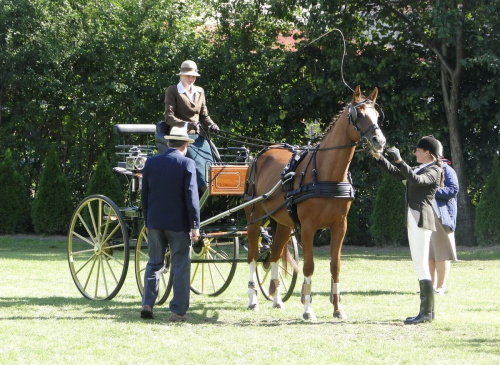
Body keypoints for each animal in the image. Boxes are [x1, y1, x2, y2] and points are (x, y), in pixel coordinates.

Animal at [244, 85, 384, 318]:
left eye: (377, 115)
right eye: (359, 115)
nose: (379, 141)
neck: (327, 174)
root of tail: (262, 153)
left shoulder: (340, 225)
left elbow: (335, 265)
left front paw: (337, 308)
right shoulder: (308, 227)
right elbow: (308, 266)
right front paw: (308, 309)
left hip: (283, 223)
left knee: (274, 255)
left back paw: (276, 298)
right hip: (254, 218)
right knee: (253, 256)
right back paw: (253, 298)